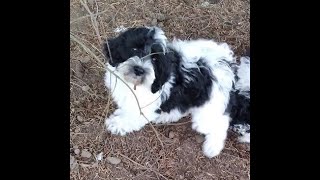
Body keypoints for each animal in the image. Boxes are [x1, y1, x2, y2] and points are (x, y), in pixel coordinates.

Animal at [104, 26, 249, 158]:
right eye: (134, 49)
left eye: (155, 59)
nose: (139, 69)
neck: (133, 83)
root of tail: (227, 64)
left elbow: (133, 117)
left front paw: (117, 124)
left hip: (210, 106)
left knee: (220, 123)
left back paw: (212, 147)